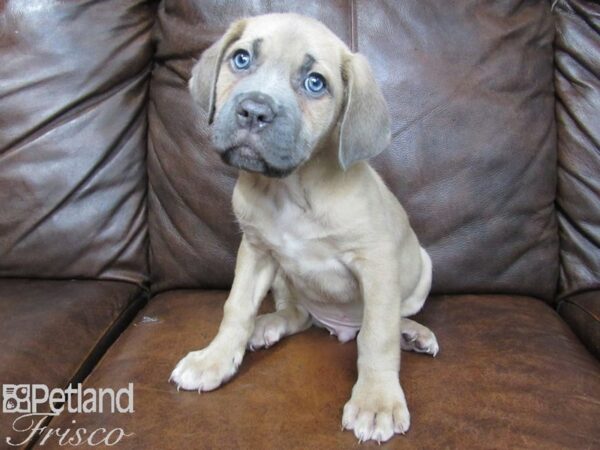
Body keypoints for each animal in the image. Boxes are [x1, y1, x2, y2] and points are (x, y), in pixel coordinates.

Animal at [171, 14, 438, 442]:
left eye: (315, 83)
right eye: (241, 59)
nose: (254, 111)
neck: (290, 190)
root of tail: (339, 327)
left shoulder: (377, 263)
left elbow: (378, 336)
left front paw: (376, 402)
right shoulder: (255, 251)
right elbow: (236, 308)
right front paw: (216, 358)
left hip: (422, 269)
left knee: (385, 321)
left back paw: (413, 333)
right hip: (283, 277)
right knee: (296, 314)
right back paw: (267, 326)